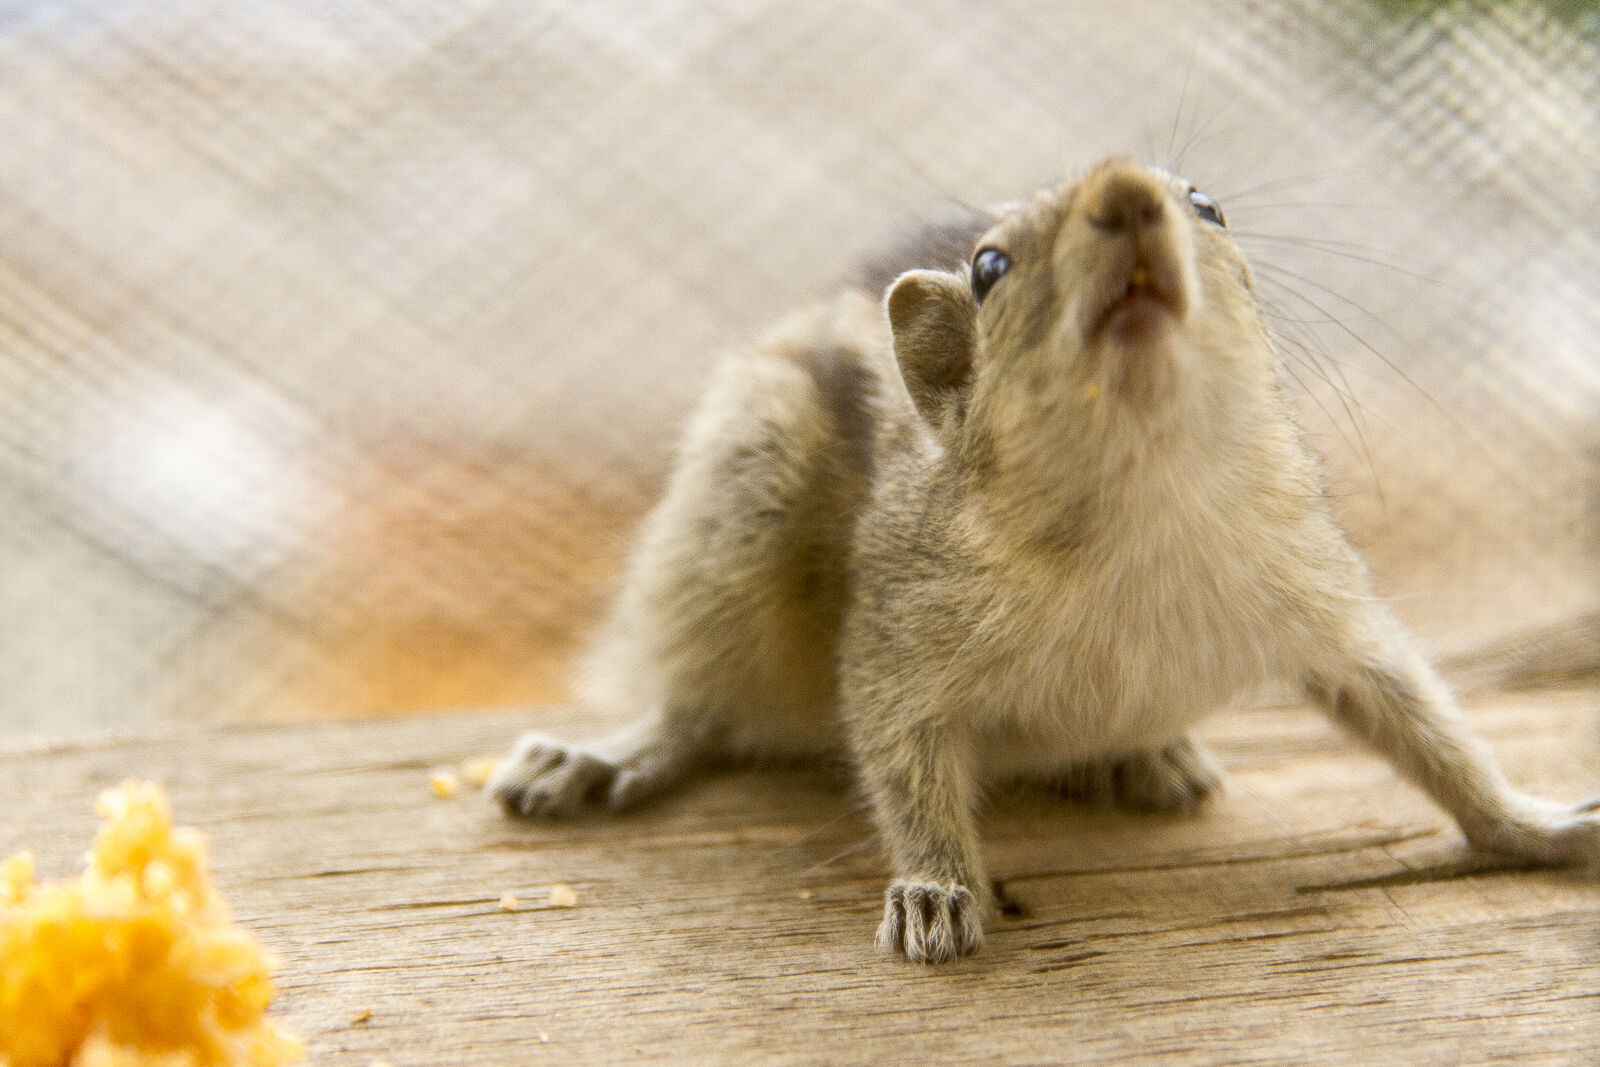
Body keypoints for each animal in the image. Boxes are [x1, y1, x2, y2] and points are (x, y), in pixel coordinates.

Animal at [488, 158, 1600, 963]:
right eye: (988, 267)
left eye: (1207, 204)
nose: (1127, 191)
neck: (1137, 496)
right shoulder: (898, 640)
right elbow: (900, 757)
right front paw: (935, 888)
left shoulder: (1323, 600)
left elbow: (1423, 725)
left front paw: (1535, 823)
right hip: (738, 504)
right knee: (700, 709)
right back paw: (602, 756)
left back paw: (1148, 756)